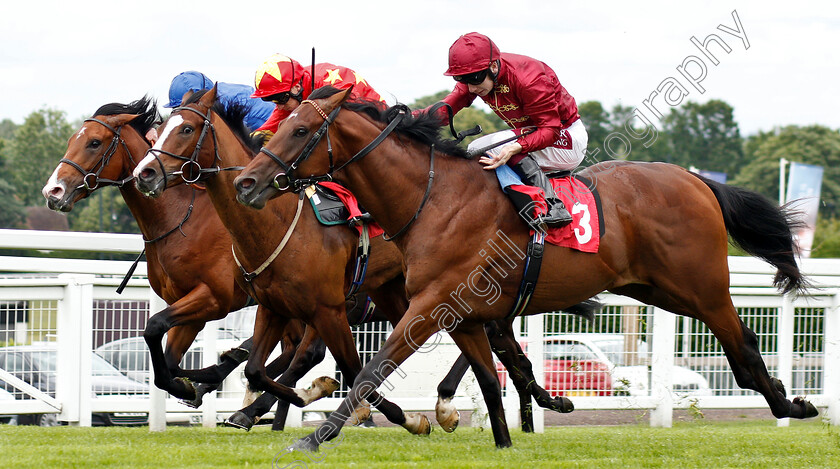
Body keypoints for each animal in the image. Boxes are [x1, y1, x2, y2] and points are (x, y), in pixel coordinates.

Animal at [41, 96, 328, 416]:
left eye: (94, 142)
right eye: (71, 140)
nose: (53, 191)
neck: (180, 218)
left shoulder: (213, 299)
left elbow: (154, 329)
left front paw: (193, 382)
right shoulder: (187, 304)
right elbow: (167, 358)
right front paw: (192, 384)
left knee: (308, 351)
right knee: (292, 348)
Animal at [233, 86, 816, 448]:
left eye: (301, 130)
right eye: (278, 125)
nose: (246, 183)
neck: (433, 199)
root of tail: (695, 179)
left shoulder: (426, 308)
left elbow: (370, 370)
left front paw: (314, 436)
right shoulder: (463, 316)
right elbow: (492, 382)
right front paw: (503, 438)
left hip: (701, 287)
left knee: (743, 347)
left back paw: (792, 406)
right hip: (658, 290)